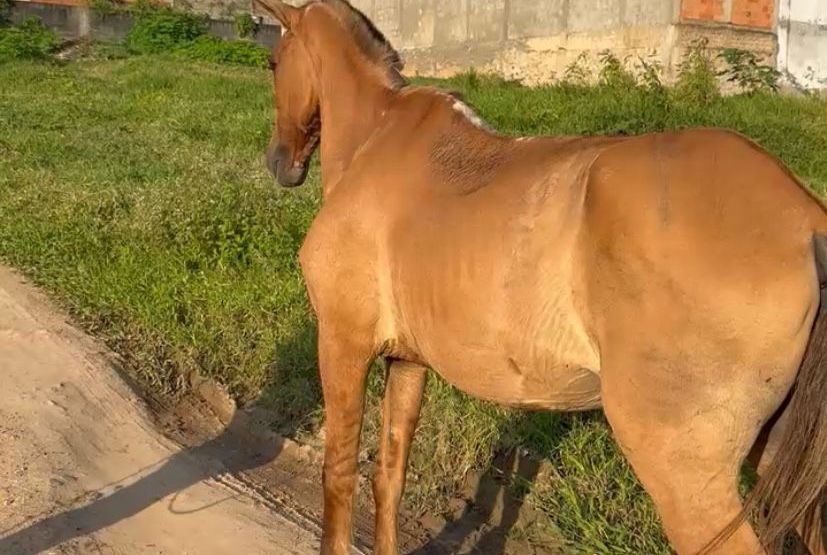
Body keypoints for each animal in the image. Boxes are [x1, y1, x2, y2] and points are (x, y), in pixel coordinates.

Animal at [253, 1, 827, 553]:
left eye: (274, 62)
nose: (279, 162)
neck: (376, 138)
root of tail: (806, 222)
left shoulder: (342, 343)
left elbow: (339, 475)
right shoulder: (409, 361)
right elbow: (389, 476)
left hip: (685, 473)